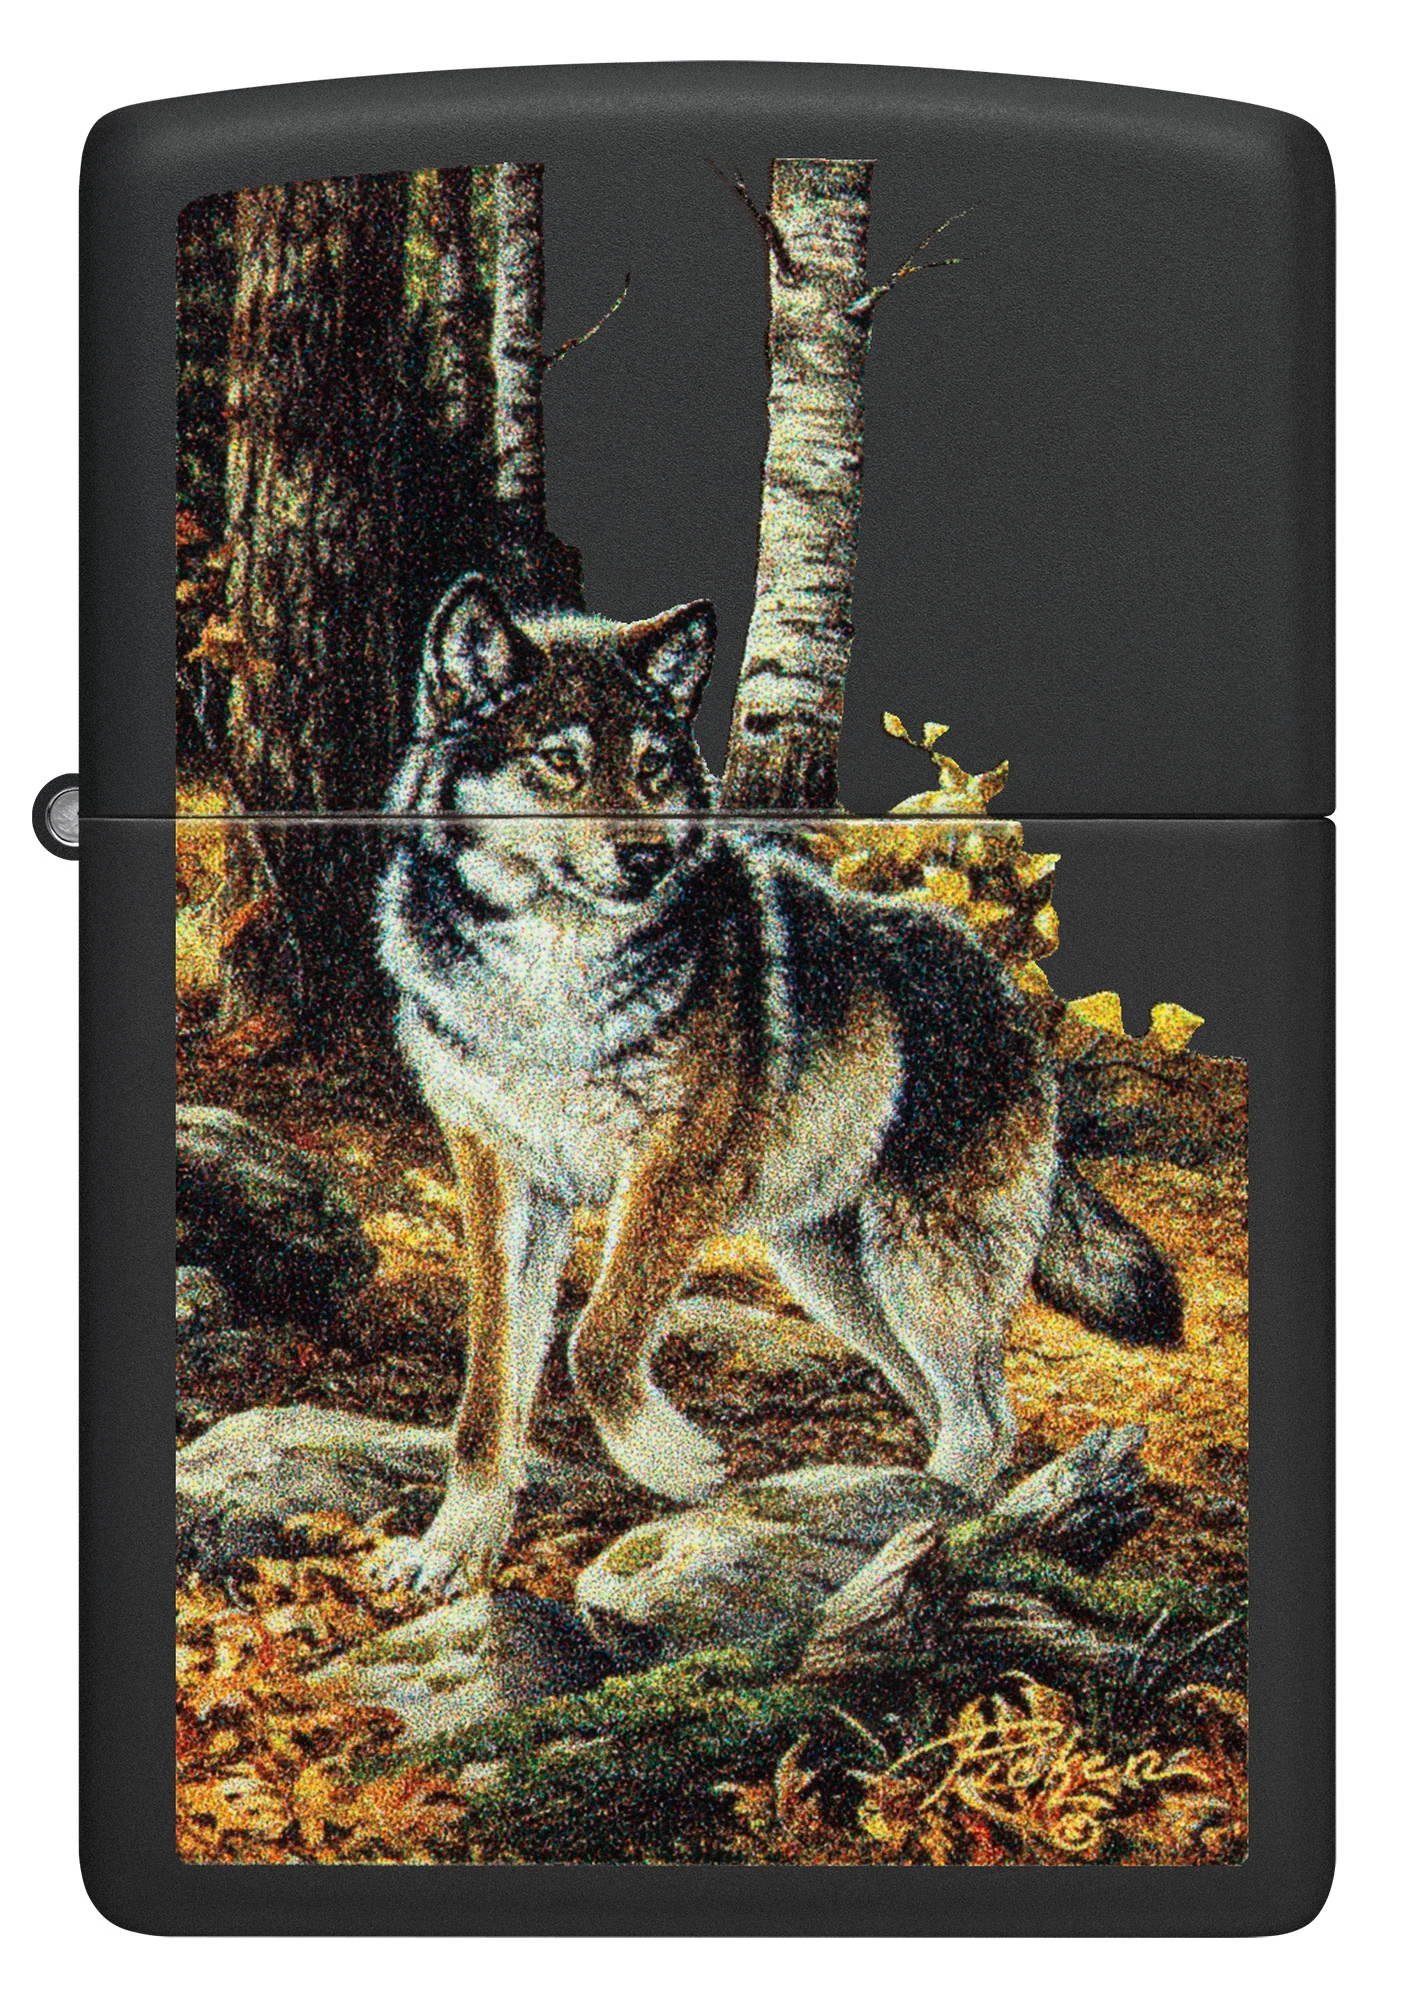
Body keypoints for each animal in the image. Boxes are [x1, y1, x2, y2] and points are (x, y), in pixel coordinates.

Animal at [375, 574, 1180, 1597]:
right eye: (559, 763)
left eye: (652, 769)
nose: (646, 859)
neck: (548, 982)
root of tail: (999, 984)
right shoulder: (502, 1179)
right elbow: (488, 1394)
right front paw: (456, 1546)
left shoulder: (672, 1171)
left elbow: (596, 1340)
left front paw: (678, 1463)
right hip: (836, 1277)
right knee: (952, 1407)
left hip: (922, 1272)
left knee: (986, 1419)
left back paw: (935, 1530)